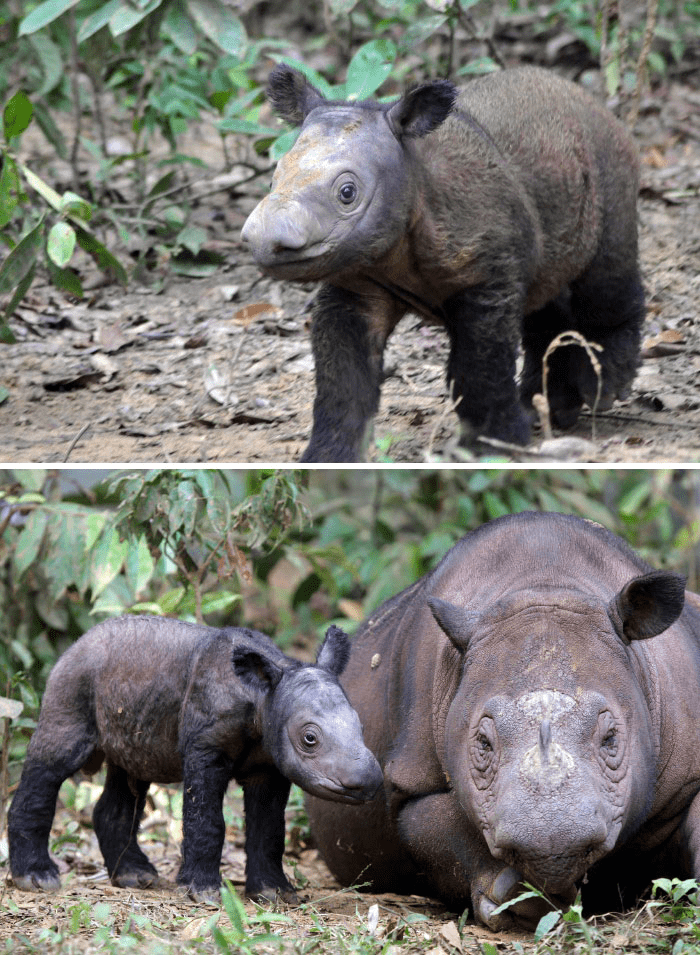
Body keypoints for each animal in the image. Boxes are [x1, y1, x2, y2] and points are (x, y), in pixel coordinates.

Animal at [8, 620, 382, 904]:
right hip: (73, 681)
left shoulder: (269, 764)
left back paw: (134, 876)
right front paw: (202, 892)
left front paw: (274, 893)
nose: (368, 781)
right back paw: (36, 878)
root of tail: (77, 643)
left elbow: (269, 828)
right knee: (55, 761)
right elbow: (207, 820)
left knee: (129, 774)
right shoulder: (205, 748)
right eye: (310, 739)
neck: (262, 697)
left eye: (362, 727)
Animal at [243, 65, 644, 462]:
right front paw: (328, 458)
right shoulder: (355, 280)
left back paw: (604, 390)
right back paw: (547, 408)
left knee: (604, 278)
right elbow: (343, 377)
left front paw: (493, 449)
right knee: (544, 294)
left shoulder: (486, 277)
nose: (264, 240)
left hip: (609, 156)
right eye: (273, 178)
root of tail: (591, 101)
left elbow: (479, 367)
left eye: (347, 193)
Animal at [304, 516, 700, 932]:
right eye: (483, 744)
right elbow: (436, 827)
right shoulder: (410, 779)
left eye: (610, 739)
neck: (546, 582)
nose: (552, 847)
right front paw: (521, 897)